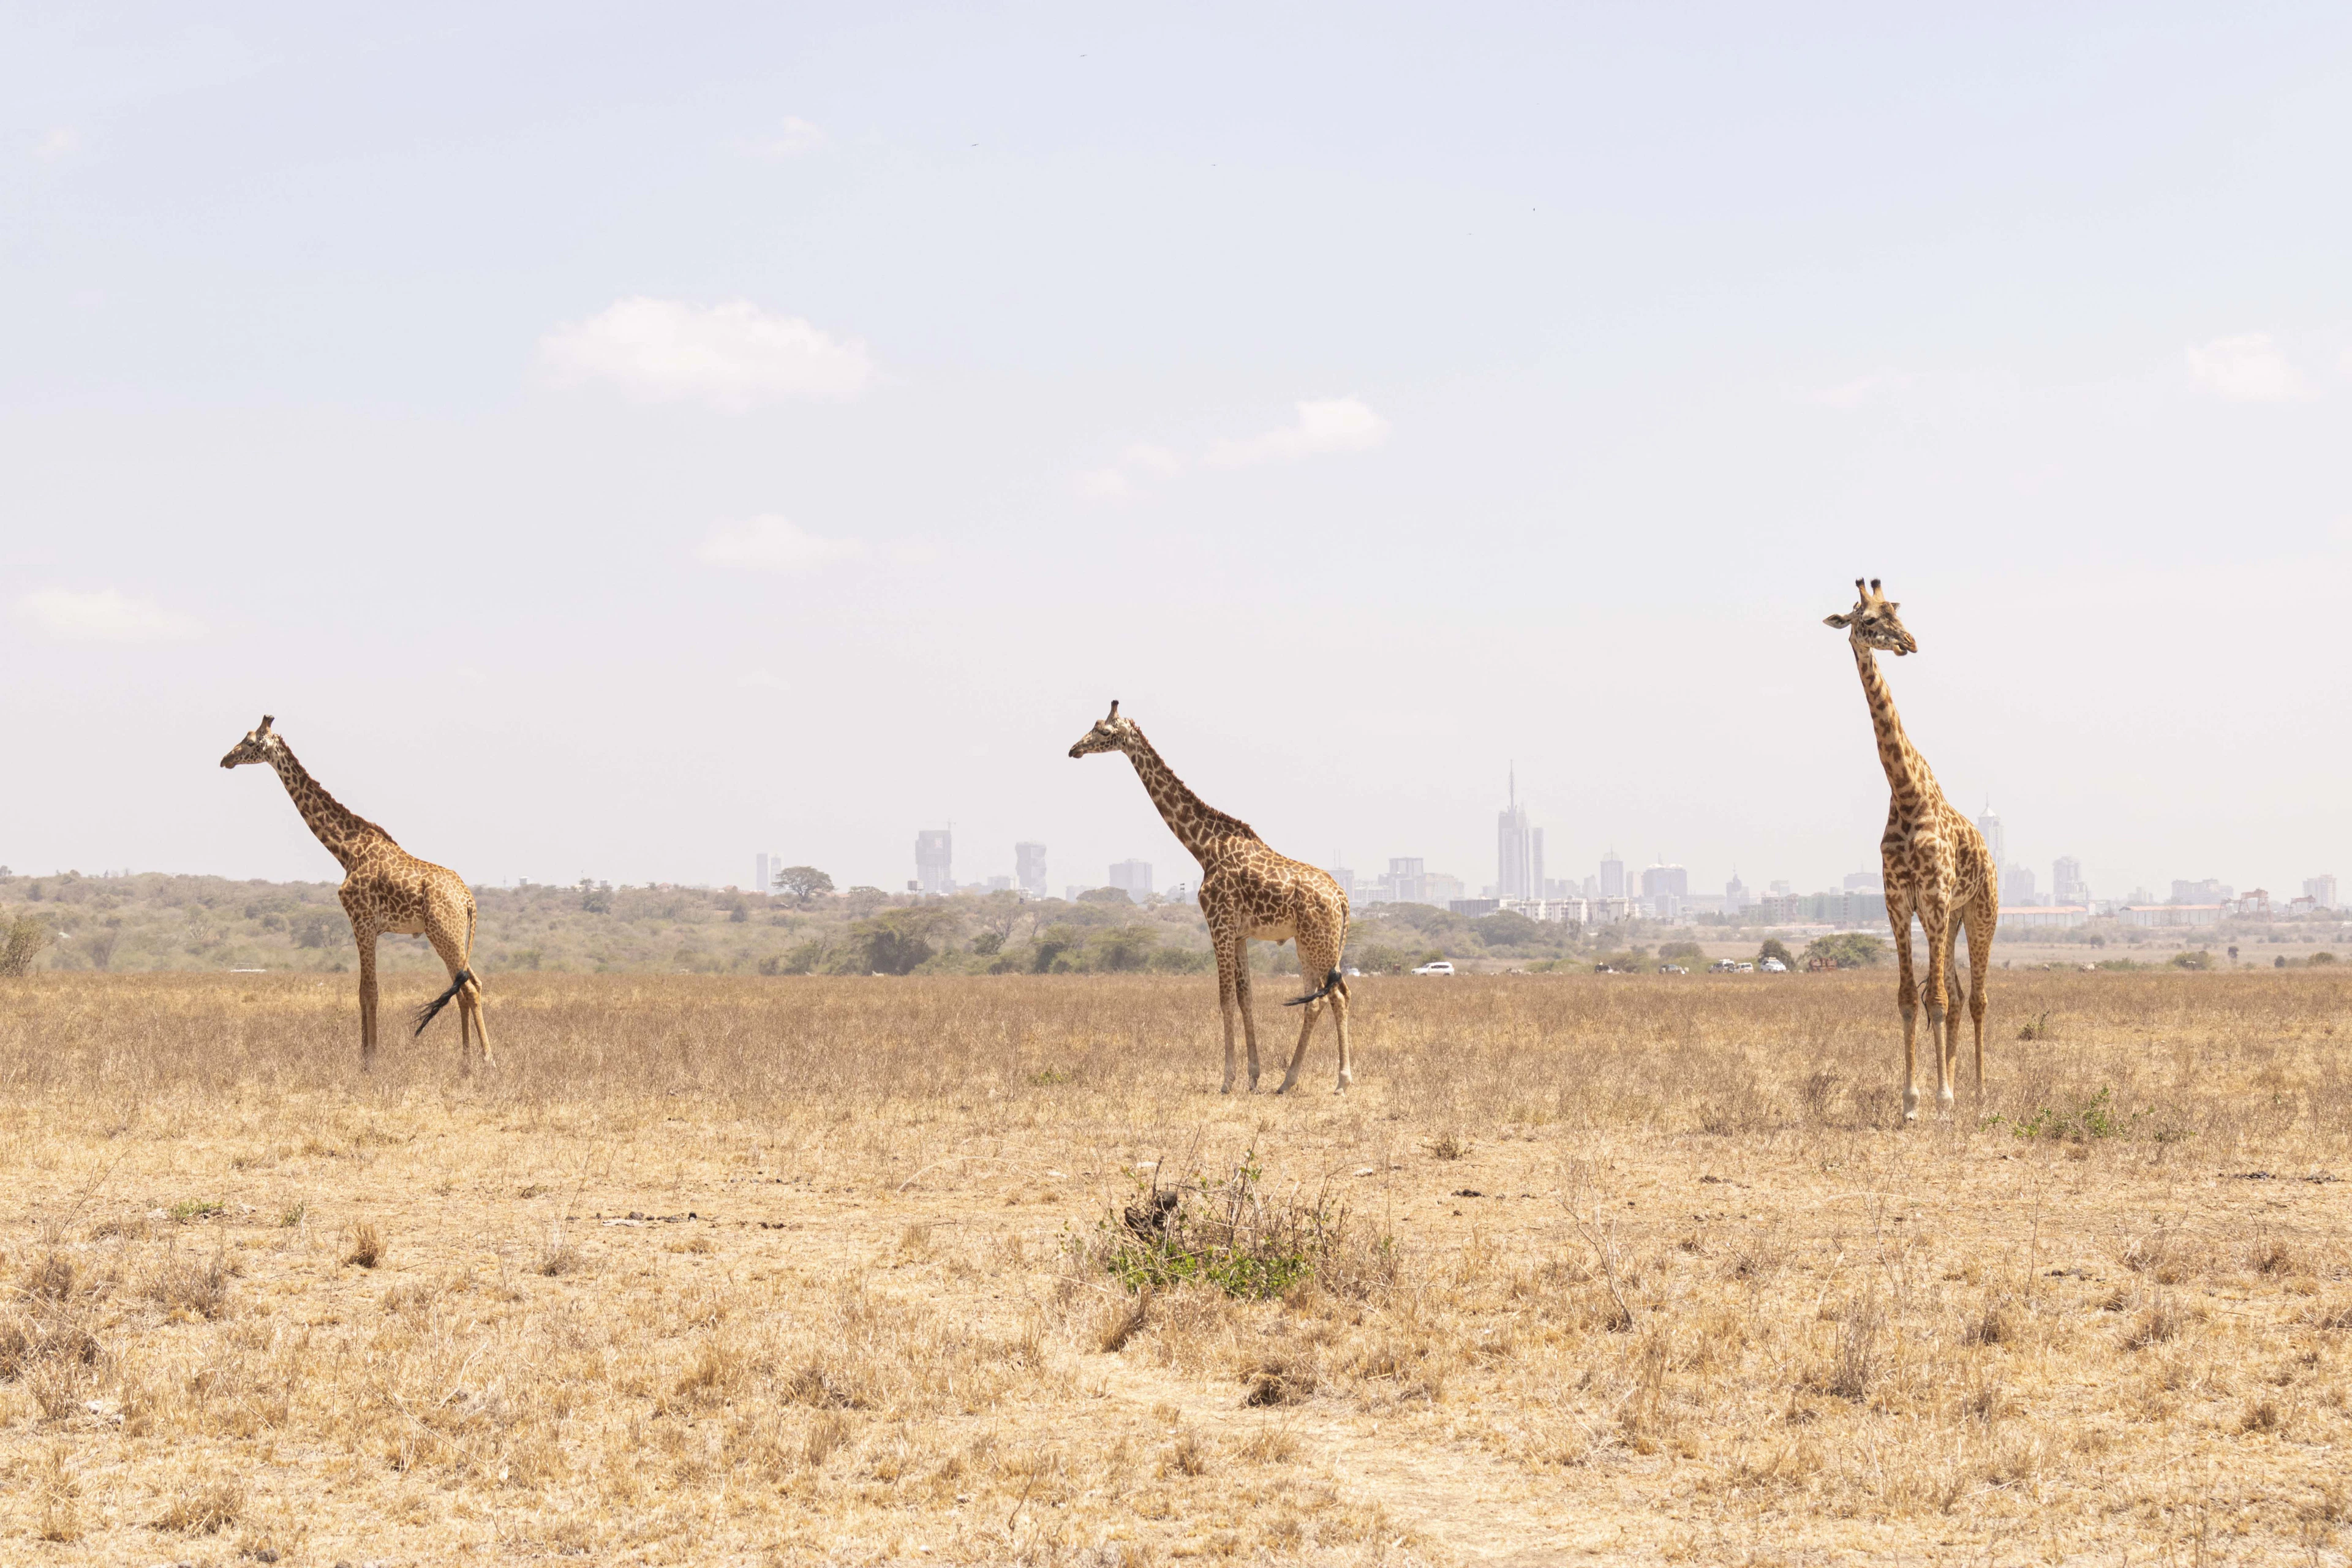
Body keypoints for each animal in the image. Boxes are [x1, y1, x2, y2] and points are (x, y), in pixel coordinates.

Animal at [219, 716, 489, 1071]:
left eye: (250, 742)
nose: (226, 759)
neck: (347, 850)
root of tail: (469, 899)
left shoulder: (362, 921)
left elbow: (370, 992)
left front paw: (371, 1060)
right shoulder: (364, 926)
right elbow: (362, 991)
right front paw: (363, 1057)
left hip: (444, 932)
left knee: (469, 988)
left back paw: (487, 1060)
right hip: (452, 935)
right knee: (466, 986)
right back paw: (466, 1060)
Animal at [1069, 702, 1354, 1094]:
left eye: (1104, 732)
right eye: (1094, 726)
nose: (1074, 749)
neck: (1203, 847)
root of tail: (1342, 898)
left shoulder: (1218, 924)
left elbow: (1225, 1000)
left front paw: (1227, 1080)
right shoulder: (1239, 934)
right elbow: (1246, 998)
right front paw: (1253, 1076)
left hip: (1315, 942)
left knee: (1330, 997)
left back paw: (1332, 1082)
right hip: (1313, 943)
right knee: (1327, 998)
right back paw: (1294, 1081)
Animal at [1824, 581, 1998, 1123]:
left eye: (1895, 613)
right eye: (1868, 621)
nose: (1910, 642)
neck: (1904, 793)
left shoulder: (1936, 897)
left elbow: (1935, 999)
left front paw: (1942, 1102)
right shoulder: (1899, 902)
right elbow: (1908, 998)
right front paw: (1912, 1103)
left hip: (1980, 912)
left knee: (1977, 998)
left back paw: (1978, 1097)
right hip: (1952, 916)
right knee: (1960, 995)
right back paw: (1960, 1088)